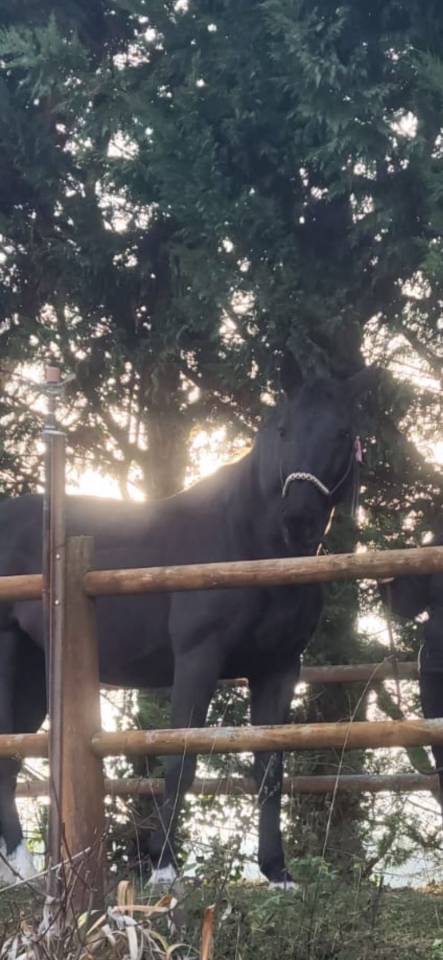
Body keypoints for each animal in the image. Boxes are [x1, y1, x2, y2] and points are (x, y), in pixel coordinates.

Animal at [0, 356, 377, 886]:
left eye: (343, 432)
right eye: (284, 429)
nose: (298, 520)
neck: (247, 545)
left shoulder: (278, 669)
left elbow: (269, 767)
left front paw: (277, 871)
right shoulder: (199, 658)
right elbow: (181, 757)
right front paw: (163, 870)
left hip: (35, 674)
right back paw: (23, 869)